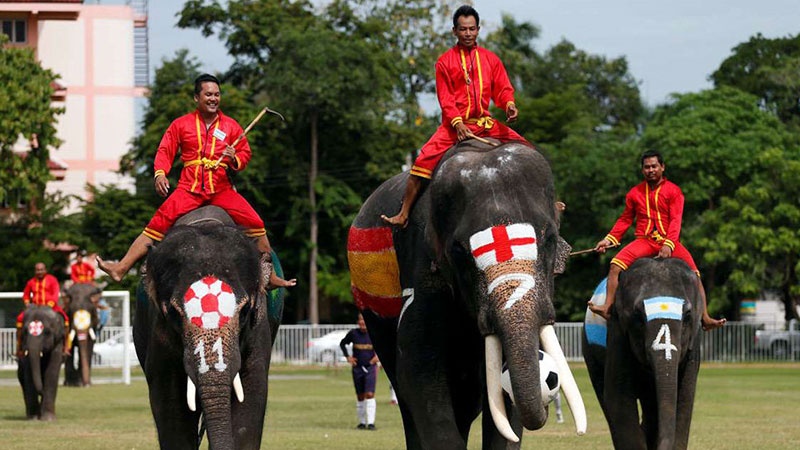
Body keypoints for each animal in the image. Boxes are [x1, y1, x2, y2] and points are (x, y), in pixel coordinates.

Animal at [136, 206, 286, 448]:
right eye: (174, 312)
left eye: (245, 310)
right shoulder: (158, 329)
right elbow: (169, 400)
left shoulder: (257, 329)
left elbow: (252, 392)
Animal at [580, 256, 708, 450]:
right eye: (638, 315)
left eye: (687, 315)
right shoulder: (617, 329)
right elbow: (619, 397)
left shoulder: (695, 339)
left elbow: (685, 397)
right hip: (589, 348)